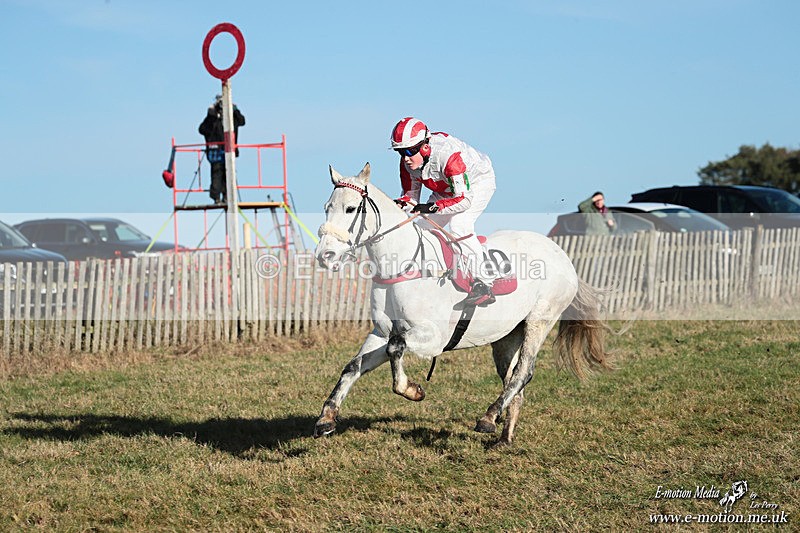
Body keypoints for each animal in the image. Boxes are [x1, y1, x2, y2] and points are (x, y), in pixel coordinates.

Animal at [313, 162, 611, 444]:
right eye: (327, 207)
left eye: (351, 208)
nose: (325, 256)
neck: (403, 266)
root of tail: (561, 254)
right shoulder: (381, 332)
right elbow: (356, 364)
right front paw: (326, 418)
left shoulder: (433, 338)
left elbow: (396, 348)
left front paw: (412, 390)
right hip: (506, 335)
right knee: (512, 378)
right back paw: (505, 437)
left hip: (540, 321)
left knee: (523, 372)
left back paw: (489, 417)